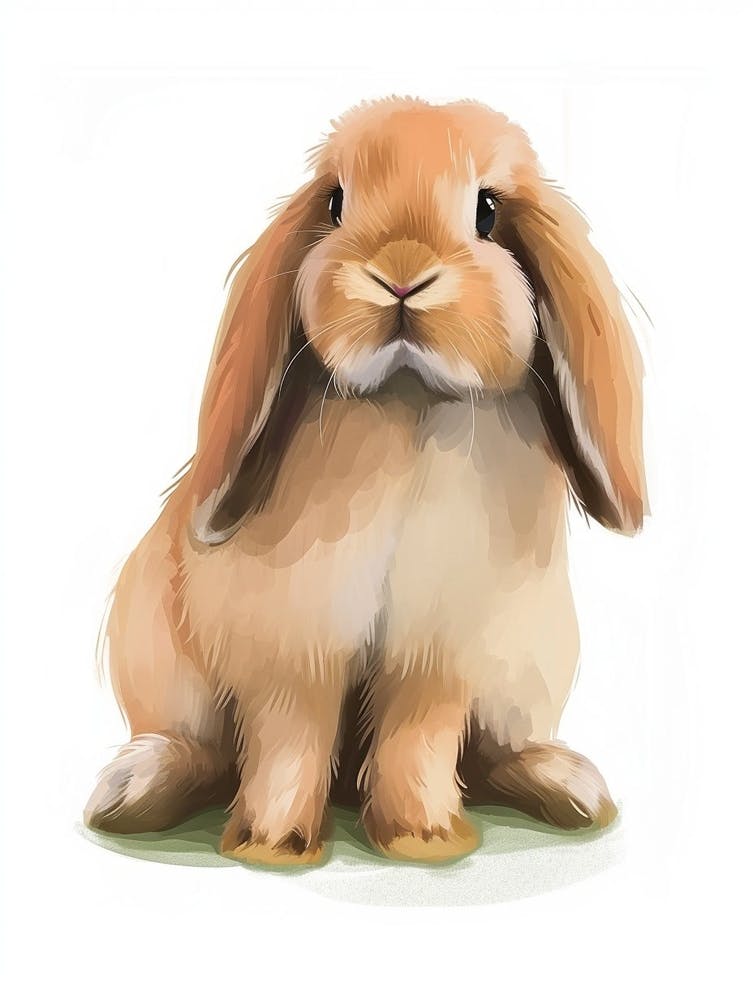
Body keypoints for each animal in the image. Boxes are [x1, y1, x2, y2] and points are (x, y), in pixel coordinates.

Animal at [84, 96, 646, 865]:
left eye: (488, 212)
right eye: (336, 202)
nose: (401, 274)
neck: (408, 402)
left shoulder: (438, 651)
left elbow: (419, 736)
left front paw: (421, 838)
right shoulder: (294, 645)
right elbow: (289, 738)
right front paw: (271, 844)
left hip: (530, 667)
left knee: (493, 753)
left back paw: (570, 787)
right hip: (163, 665)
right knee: (202, 751)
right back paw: (133, 791)